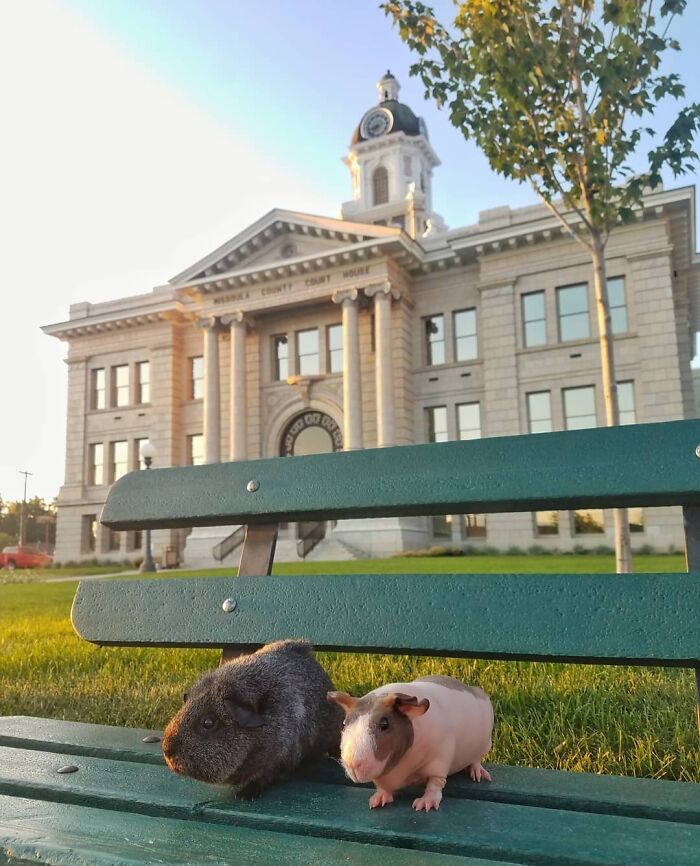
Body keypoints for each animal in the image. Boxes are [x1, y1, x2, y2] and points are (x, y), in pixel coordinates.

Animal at [327, 675, 493, 811]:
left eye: (385, 724)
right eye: (344, 724)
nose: (352, 764)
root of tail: (473, 688)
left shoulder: (440, 760)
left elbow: (435, 782)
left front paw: (425, 804)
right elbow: (381, 788)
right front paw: (377, 799)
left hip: (485, 745)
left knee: (476, 760)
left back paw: (478, 773)